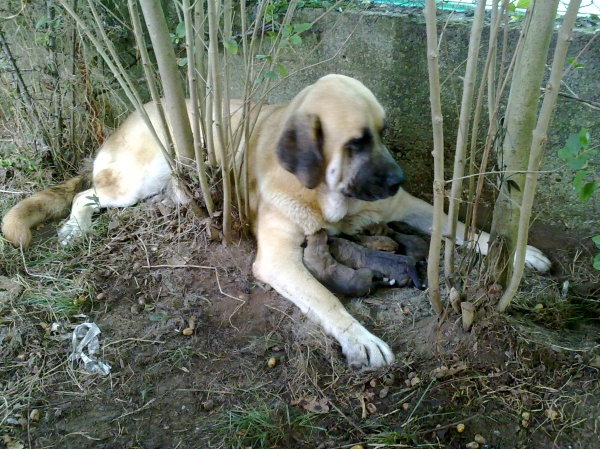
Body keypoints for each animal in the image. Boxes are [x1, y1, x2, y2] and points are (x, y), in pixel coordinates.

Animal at [1, 74, 552, 368]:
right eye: (356, 142)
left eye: (383, 132)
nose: (397, 179)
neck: (325, 194)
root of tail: (139, 110)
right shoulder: (280, 259)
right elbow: (327, 299)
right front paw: (361, 338)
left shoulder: (404, 208)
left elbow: (458, 225)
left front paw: (517, 252)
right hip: (142, 176)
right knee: (87, 193)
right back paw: (74, 229)